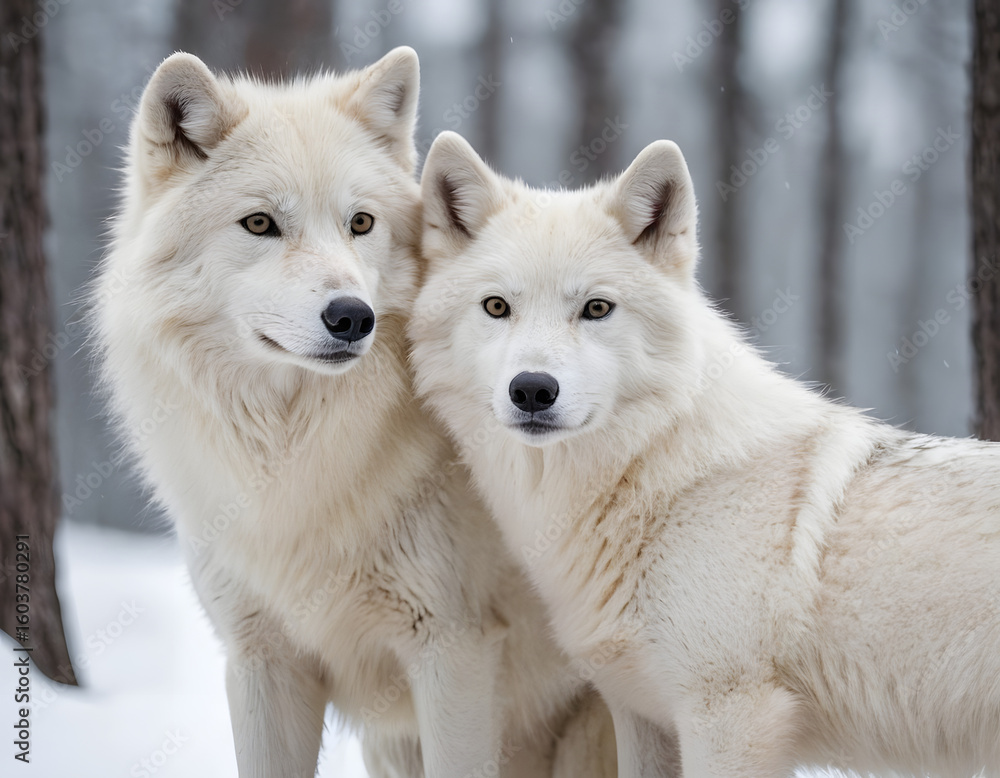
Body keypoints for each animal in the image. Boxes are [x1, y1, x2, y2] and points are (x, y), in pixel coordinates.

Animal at [93, 50, 626, 778]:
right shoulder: (261, 662)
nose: (353, 316)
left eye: (361, 223)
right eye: (260, 224)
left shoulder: (454, 652)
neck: (297, 462)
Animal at [410, 130, 1000, 778]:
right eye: (496, 307)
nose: (533, 390)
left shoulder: (730, 714)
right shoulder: (639, 713)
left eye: (596, 308)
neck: (651, 478)